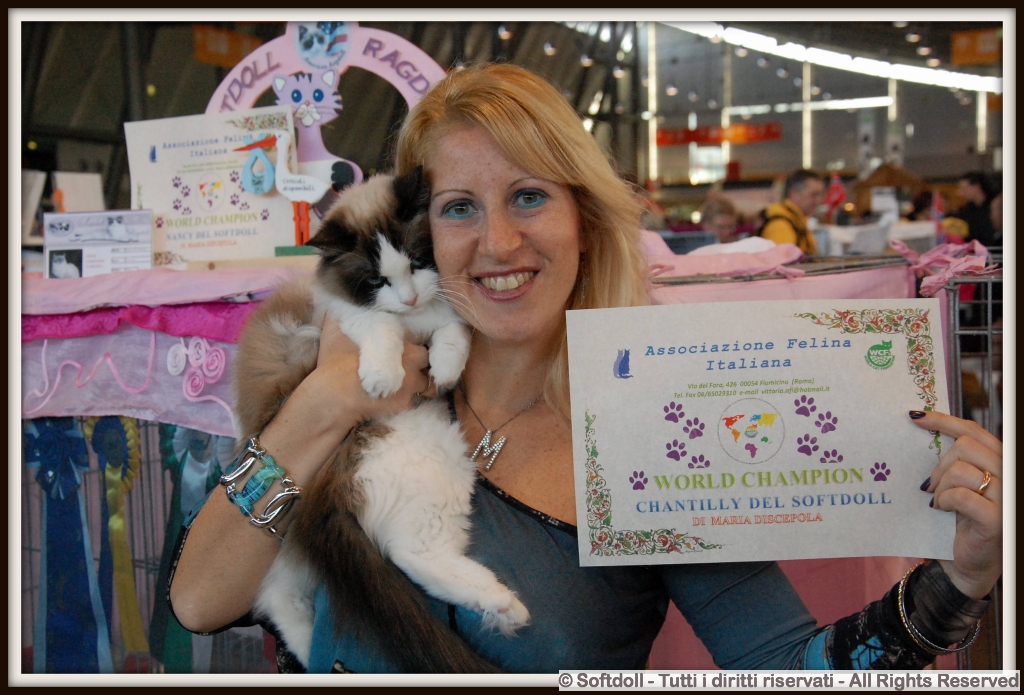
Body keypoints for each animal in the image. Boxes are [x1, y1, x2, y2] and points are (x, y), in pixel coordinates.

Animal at [238, 167, 529, 672]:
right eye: (376, 280)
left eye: (418, 261)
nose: (409, 299)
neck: (417, 319)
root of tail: (329, 489)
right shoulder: (345, 314)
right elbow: (381, 327)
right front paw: (382, 377)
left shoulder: (450, 311)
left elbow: (453, 335)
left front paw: (444, 368)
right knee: (400, 556)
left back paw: (505, 605)